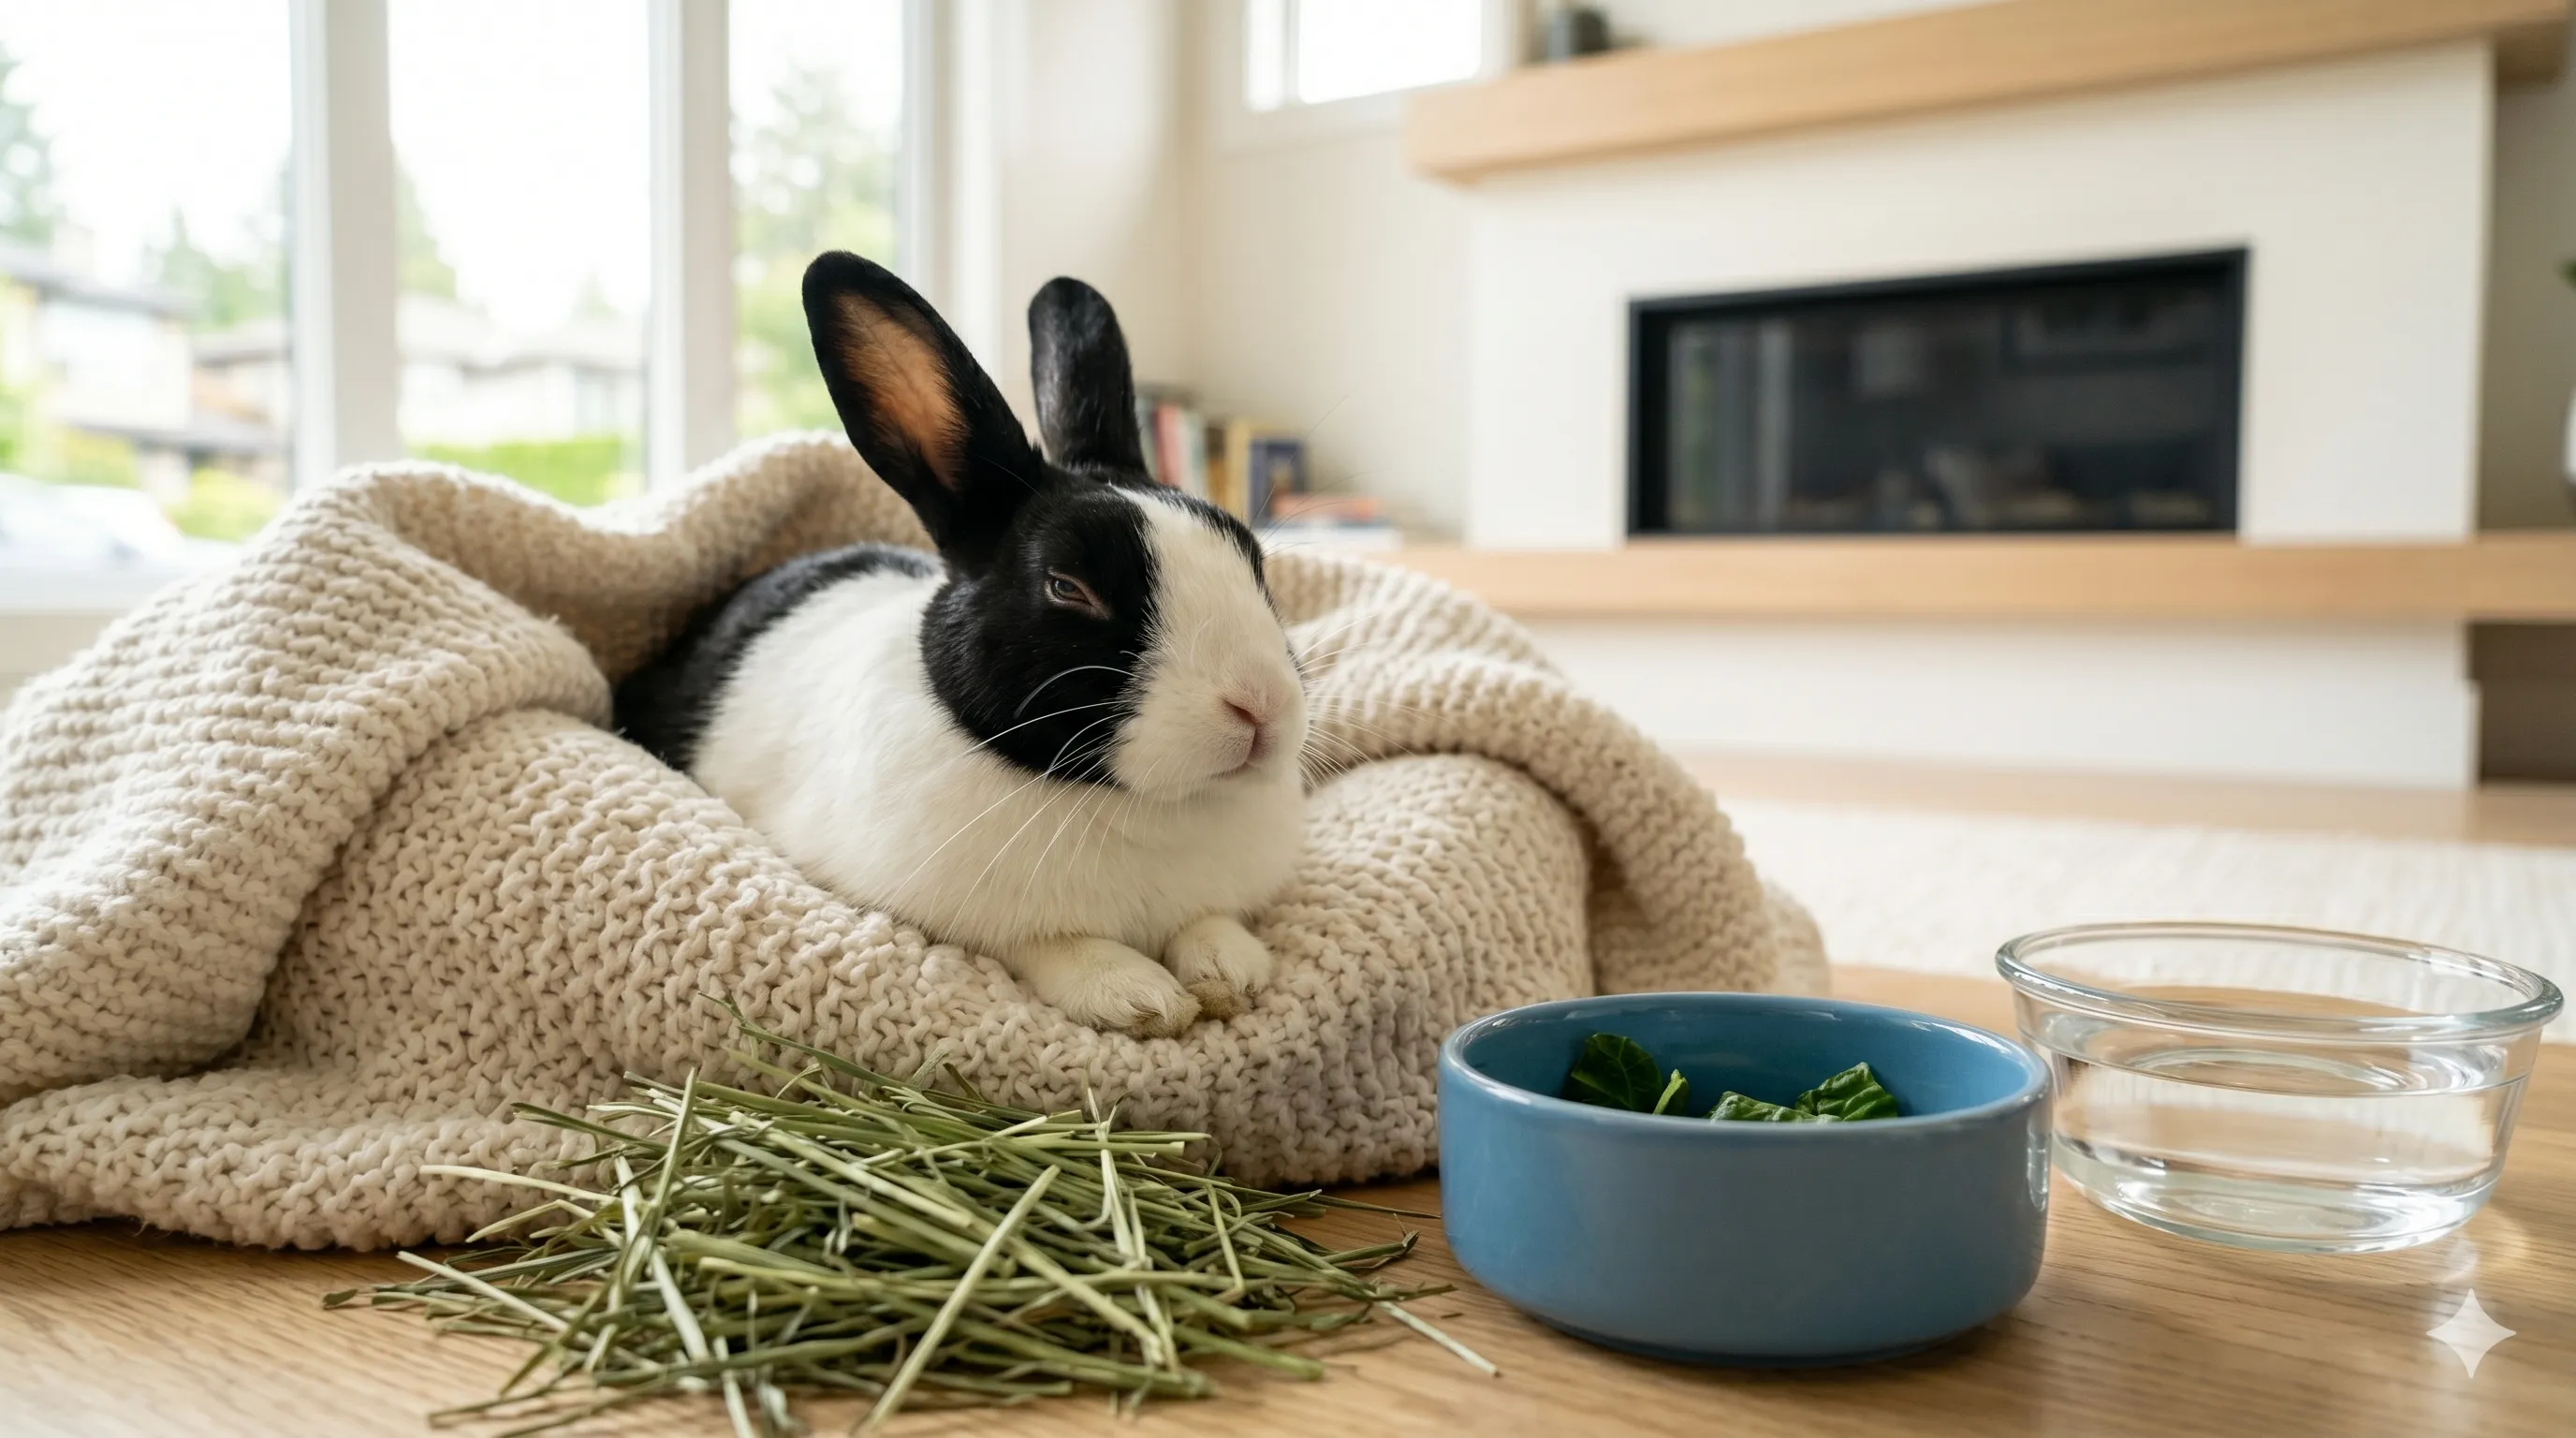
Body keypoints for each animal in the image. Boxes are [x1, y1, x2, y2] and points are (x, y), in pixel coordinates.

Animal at [614, 253, 1309, 1038]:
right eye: (1068, 588)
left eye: (1251, 558)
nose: (1260, 708)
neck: (1147, 807)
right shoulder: (971, 920)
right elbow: (1054, 944)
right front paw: (1139, 998)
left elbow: (1211, 922)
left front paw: (1230, 974)